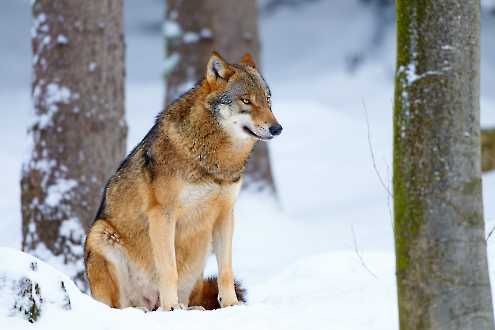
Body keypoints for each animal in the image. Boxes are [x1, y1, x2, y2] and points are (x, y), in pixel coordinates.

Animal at [83, 52, 280, 312]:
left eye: (267, 100)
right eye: (246, 100)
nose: (277, 128)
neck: (215, 161)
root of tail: (148, 303)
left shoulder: (225, 214)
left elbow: (226, 270)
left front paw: (231, 305)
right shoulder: (162, 214)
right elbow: (168, 270)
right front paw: (171, 309)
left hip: (199, 253)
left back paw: (190, 308)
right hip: (100, 235)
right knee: (120, 306)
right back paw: (148, 309)